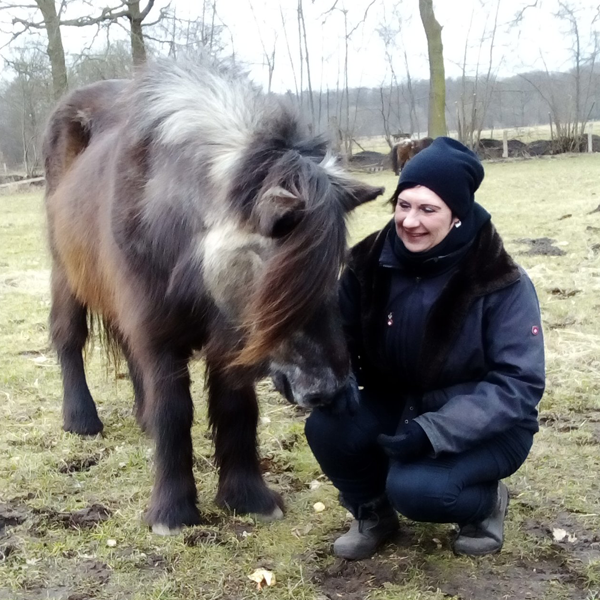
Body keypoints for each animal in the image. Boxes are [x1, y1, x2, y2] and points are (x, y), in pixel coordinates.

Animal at [43, 58, 384, 532]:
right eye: (275, 277)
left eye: (335, 269)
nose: (330, 392)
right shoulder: (158, 333)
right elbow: (174, 412)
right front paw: (172, 511)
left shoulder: (228, 340)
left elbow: (236, 409)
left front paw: (248, 497)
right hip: (67, 275)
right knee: (69, 338)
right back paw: (81, 419)